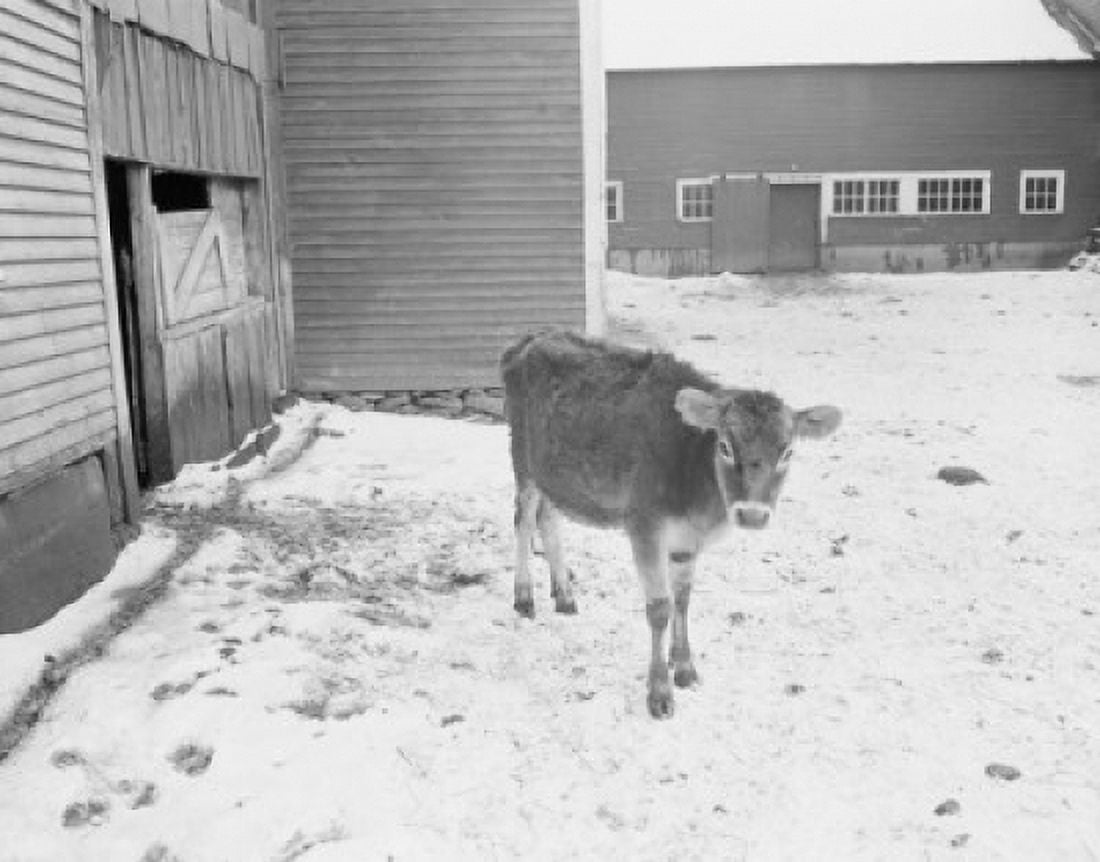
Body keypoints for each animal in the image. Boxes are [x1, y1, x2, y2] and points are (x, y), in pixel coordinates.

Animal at [500, 330, 842, 719]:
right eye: (724, 446)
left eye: (787, 452)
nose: (752, 514)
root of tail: (530, 339)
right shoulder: (644, 523)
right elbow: (660, 607)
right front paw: (660, 692)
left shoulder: (686, 541)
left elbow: (683, 600)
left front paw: (685, 667)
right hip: (522, 457)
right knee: (523, 519)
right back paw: (524, 597)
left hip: (556, 475)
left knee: (548, 518)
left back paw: (565, 594)